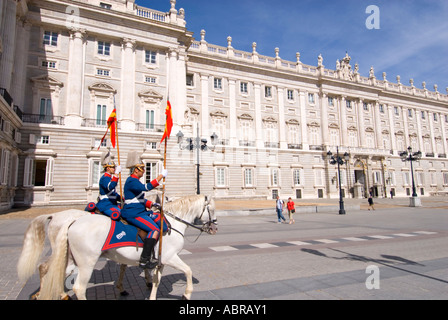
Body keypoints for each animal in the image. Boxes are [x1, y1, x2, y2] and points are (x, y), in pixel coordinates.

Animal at [38, 194, 217, 302]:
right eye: (212, 210)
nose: (215, 228)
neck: (172, 223)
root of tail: (72, 221)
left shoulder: (160, 261)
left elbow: (156, 280)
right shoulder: (170, 257)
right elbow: (188, 270)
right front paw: (186, 294)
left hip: (69, 258)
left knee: (52, 271)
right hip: (86, 263)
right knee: (78, 288)